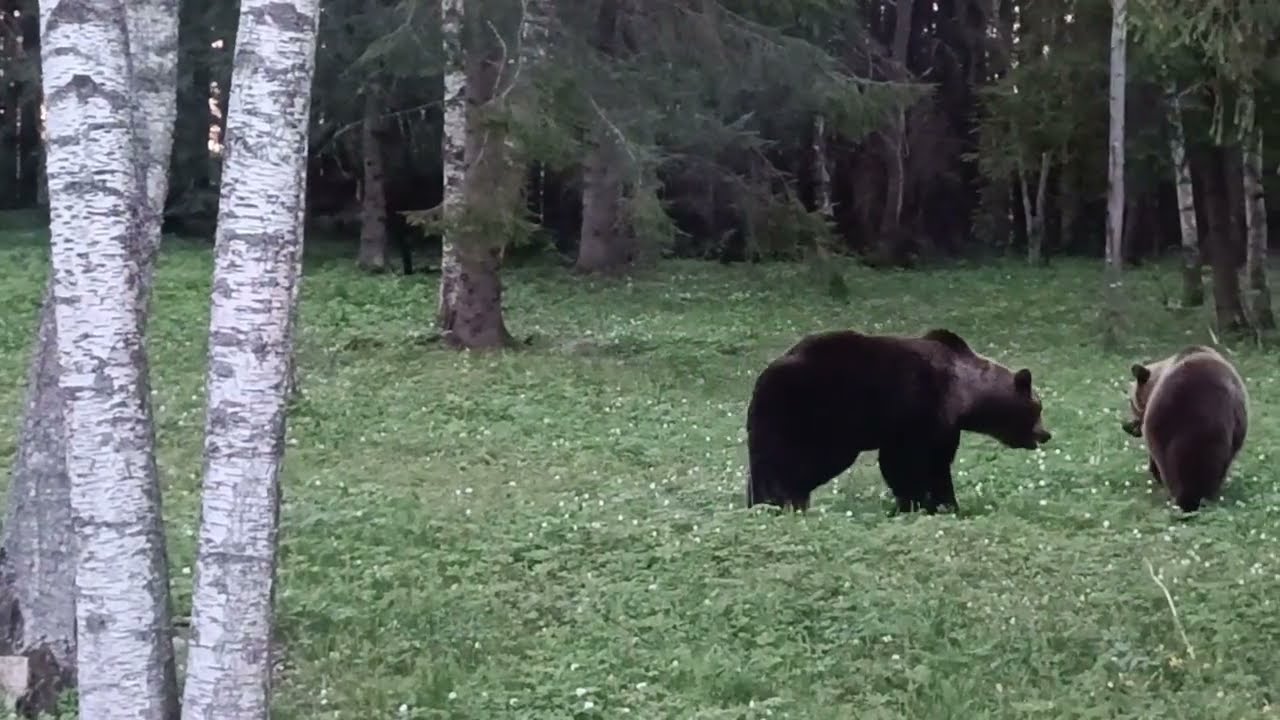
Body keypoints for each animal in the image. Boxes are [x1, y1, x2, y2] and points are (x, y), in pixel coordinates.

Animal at [744, 327, 1052, 514]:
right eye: (1037, 407)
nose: (1045, 434)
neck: (963, 395)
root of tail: (764, 375)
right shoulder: (918, 412)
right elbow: (906, 464)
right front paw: (918, 503)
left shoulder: (941, 427)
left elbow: (937, 465)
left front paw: (944, 503)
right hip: (818, 413)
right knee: (799, 462)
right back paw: (785, 499)